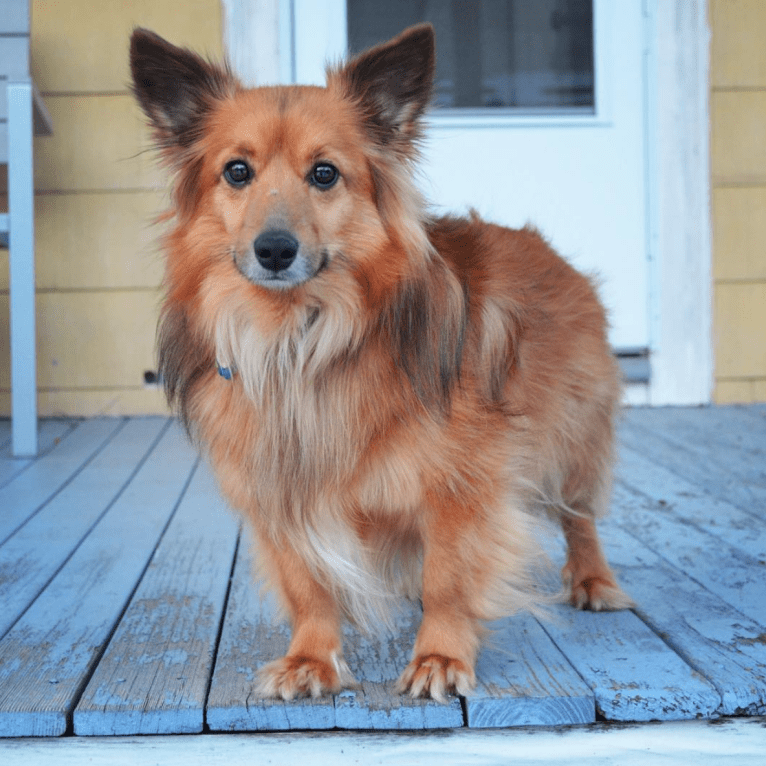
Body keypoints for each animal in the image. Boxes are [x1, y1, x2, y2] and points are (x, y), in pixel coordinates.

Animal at [132, 21, 632, 704]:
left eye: (325, 174)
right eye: (236, 171)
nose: (274, 250)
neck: (301, 342)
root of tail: (548, 249)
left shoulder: (461, 487)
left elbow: (448, 578)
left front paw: (441, 656)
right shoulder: (277, 490)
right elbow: (308, 585)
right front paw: (310, 659)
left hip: (572, 441)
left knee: (579, 516)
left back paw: (593, 581)